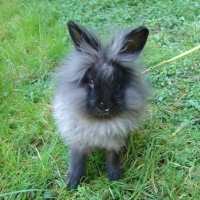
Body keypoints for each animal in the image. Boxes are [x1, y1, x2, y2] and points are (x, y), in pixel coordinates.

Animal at [52, 20, 149, 189]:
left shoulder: (114, 142)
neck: (101, 121)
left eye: (119, 84)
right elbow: (77, 162)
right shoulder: (79, 142)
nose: (105, 105)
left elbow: (113, 159)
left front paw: (115, 177)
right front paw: (71, 183)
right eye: (91, 82)